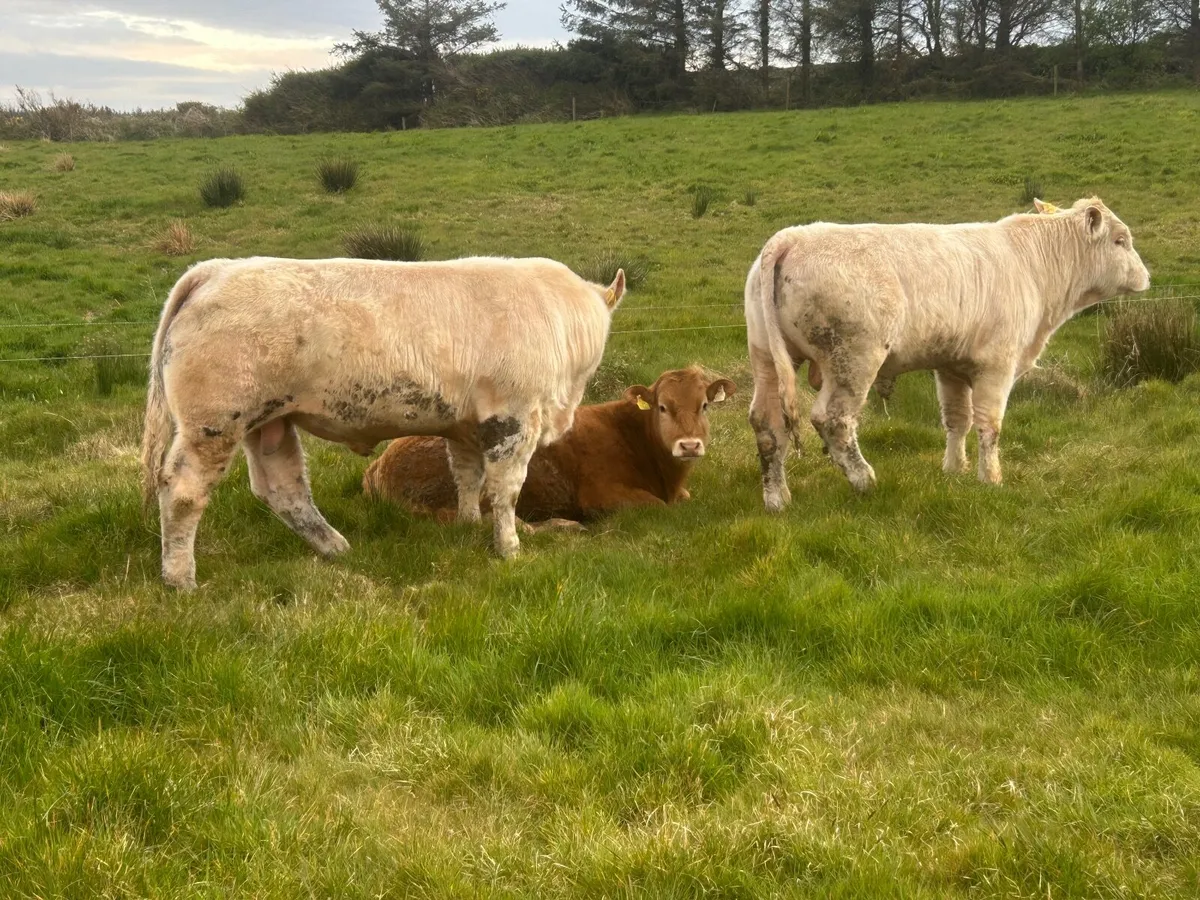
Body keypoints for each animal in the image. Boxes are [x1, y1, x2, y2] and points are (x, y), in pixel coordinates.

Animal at [140, 256, 625, 589]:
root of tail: (214, 270)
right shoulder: (513, 417)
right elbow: (505, 491)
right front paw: (508, 548)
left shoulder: (465, 427)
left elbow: (467, 478)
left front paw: (468, 525)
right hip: (214, 422)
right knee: (183, 492)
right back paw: (180, 579)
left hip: (270, 422)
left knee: (283, 489)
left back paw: (336, 548)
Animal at [362, 367, 736, 523]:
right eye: (662, 407)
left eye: (704, 405)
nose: (689, 446)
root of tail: (380, 462)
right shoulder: (602, 495)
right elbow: (658, 507)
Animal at [745, 197, 1150, 508]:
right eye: (1120, 240)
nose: (1146, 277)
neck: (1033, 267)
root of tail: (791, 236)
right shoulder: (997, 365)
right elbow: (990, 424)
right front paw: (991, 478)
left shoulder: (950, 366)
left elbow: (957, 419)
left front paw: (954, 470)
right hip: (852, 361)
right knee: (833, 420)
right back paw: (864, 479)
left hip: (767, 358)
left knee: (767, 424)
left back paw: (777, 497)